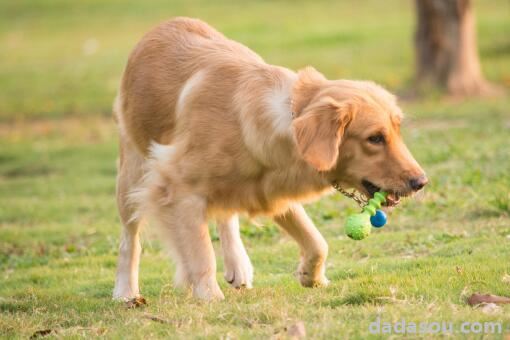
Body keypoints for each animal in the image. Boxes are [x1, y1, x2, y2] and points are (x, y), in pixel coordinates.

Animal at [111, 17, 426, 302]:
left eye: (397, 130)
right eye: (375, 138)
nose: (421, 182)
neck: (288, 118)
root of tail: (161, 25)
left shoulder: (270, 189)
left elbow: (317, 242)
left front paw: (311, 276)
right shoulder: (177, 187)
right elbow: (201, 252)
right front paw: (208, 295)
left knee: (225, 215)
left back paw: (238, 263)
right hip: (131, 175)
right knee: (129, 239)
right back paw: (126, 291)